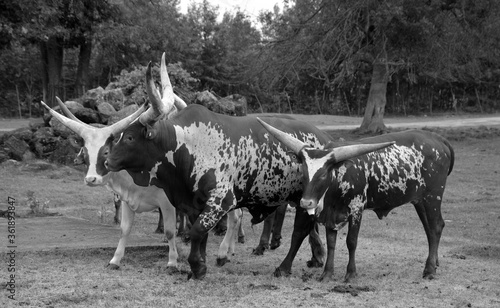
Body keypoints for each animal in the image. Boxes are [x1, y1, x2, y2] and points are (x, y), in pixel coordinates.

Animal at [105, 54, 394, 280]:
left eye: (129, 138)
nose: (107, 160)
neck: (188, 143)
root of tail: (326, 142)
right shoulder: (195, 203)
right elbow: (200, 235)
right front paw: (200, 264)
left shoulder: (220, 200)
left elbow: (197, 231)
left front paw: (198, 267)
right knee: (309, 228)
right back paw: (315, 258)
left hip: (304, 197)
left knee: (299, 231)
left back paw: (284, 267)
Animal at [258, 119, 454, 282]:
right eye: (304, 172)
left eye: (323, 175)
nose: (306, 203)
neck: (338, 179)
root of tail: (438, 139)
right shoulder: (331, 214)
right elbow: (331, 243)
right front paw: (327, 274)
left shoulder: (356, 208)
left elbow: (351, 242)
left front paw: (351, 274)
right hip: (420, 200)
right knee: (429, 228)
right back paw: (434, 262)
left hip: (433, 196)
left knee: (436, 226)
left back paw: (429, 270)